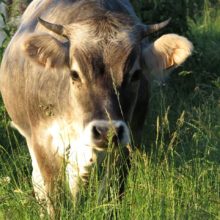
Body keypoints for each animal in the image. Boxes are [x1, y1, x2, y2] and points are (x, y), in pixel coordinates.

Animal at [0, 0, 192, 217]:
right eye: (74, 74)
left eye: (135, 74)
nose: (107, 131)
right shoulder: (43, 141)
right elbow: (55, 200)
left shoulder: (128, 142)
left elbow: (111, 197)